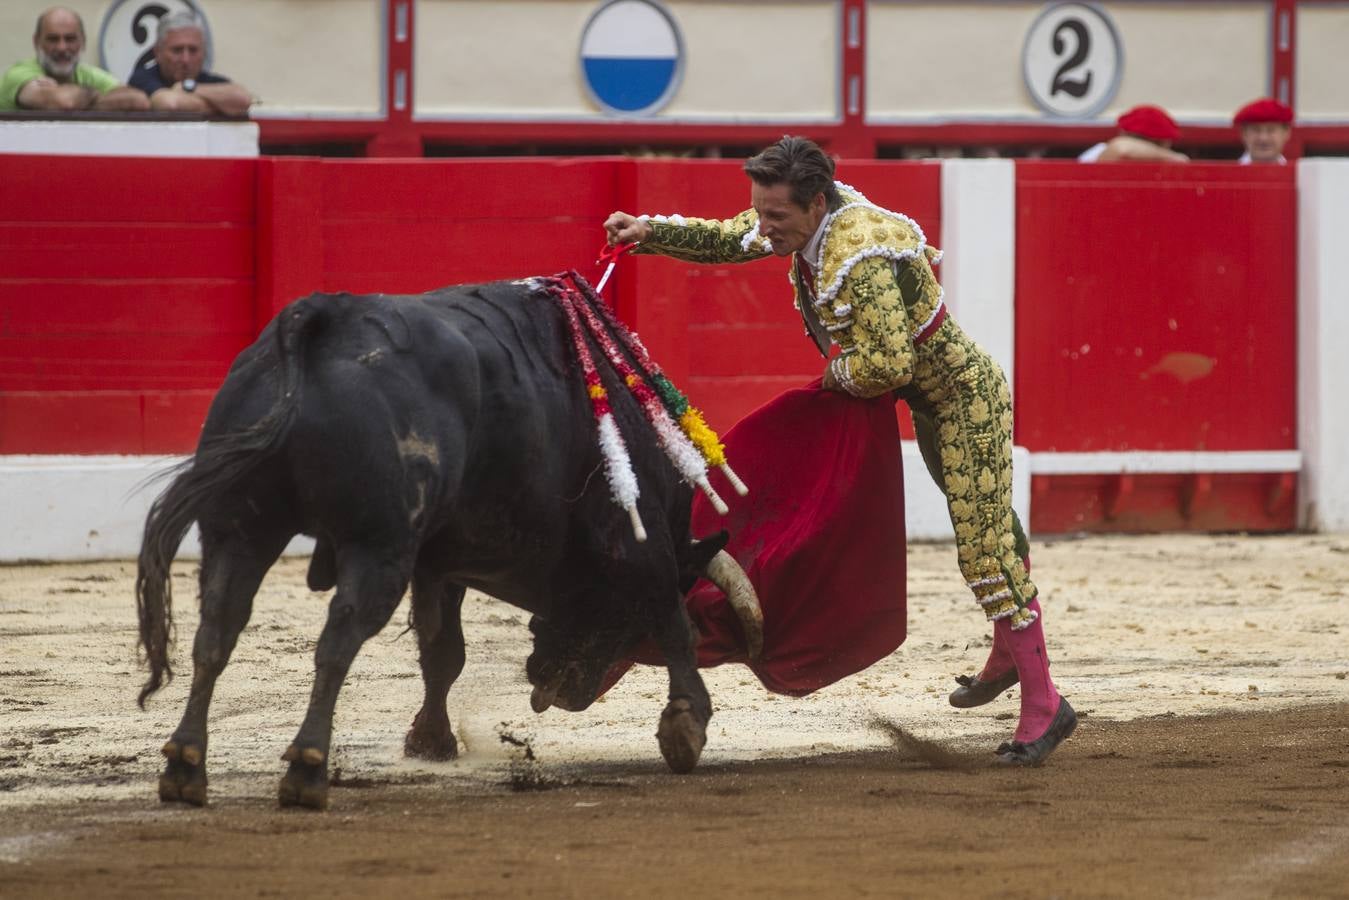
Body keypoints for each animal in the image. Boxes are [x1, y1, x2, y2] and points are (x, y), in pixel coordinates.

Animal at [142, 276, 766, 809]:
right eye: (622, 623)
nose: (564, 692)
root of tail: (328, 317)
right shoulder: (642, 540)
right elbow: (673, 621)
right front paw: (687, 723)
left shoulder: (440, 562)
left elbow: (443, 652)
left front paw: (429, 741)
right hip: (376, 545)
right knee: (337, 638)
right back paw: (306, 769)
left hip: (238, 530)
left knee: (217, 627)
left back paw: (185, 766)